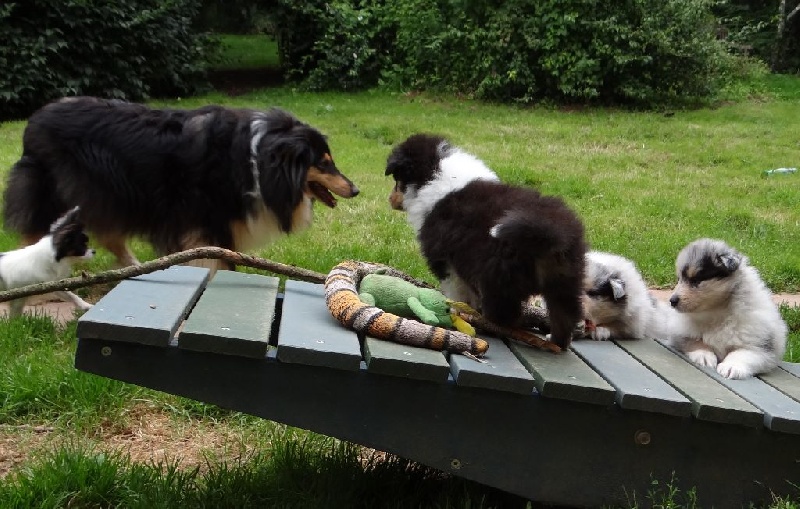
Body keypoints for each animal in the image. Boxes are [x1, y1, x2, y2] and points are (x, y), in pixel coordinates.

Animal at [2, 95, 360, 270]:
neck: (257, 159)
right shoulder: (206, 223)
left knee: (110, 234)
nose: (355, 189)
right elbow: (215, 262)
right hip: (61, 191)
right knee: (36, 235)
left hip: (107, 193)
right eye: (324, 162)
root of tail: (33, 121)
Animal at [664, 238, 788, 378]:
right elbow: (695, 342)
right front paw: (705, 357)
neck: (716, 313)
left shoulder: (761, 346)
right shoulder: (681, 333)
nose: (672, 301)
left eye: (695, 280)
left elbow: (742, 353)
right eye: (679, 279)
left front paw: (731, 367)